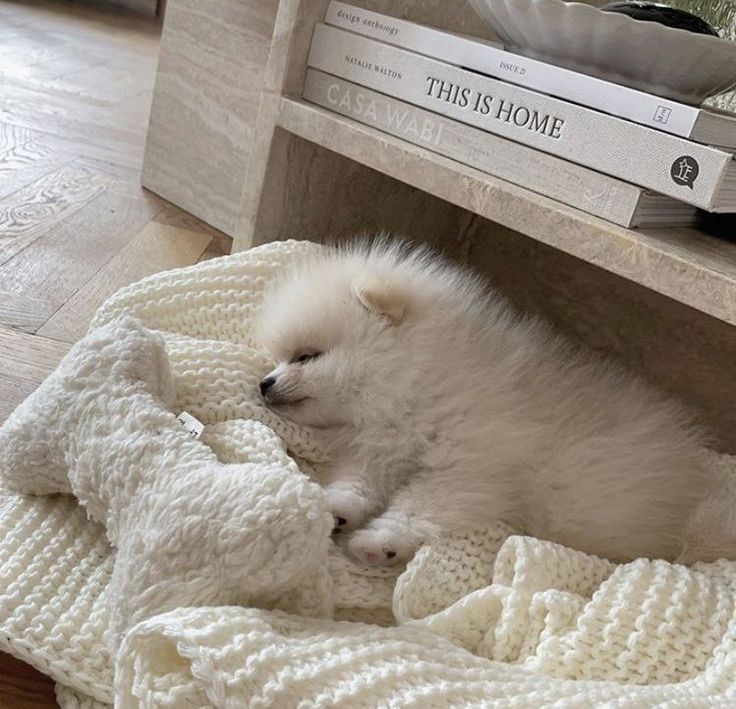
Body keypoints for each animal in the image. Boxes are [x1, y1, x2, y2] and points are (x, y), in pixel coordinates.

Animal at [258, 241, 712, 568]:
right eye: (278, 359)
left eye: (306, 357)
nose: (264, 384)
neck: (417, 383)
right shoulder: (379, 447)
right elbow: (358, 479)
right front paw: (336, 507)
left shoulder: (468, 468)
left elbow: (418, 506)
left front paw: (380, 541)